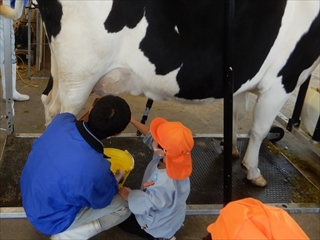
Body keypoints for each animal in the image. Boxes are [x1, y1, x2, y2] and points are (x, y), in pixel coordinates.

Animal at [21, 0, 320, 187]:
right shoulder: (283, 79)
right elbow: (259, 130)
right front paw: (254, 171)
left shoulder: (238, 78)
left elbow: (235, 115)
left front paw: (232, 150)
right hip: (81, 71)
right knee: (63, 113)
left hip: (63, 69)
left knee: (49, 104)